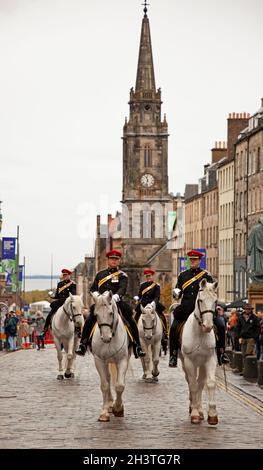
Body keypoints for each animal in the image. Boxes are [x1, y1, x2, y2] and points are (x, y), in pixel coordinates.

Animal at [91, 290, 132, 422]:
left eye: (110, 313)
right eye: (96, 314)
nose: (105, 338)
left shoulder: (122, 360)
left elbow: (120, 385)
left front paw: (118, 408)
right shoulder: (99, 360)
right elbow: (104, 385)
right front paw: (104, 412)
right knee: (108, 379)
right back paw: (109, 404)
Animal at [182, 280, 219, 426]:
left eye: (215, 301)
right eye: (201, 300)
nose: (208, 326)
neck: (199, 334)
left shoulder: (210, 359)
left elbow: (210, 383)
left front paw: (212, 414)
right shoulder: (189, 362)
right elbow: (192, 385)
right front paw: (195, 414)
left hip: (202, 364)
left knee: (201, 383)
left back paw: (200, 409)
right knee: (191, 382)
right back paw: (193, 407)